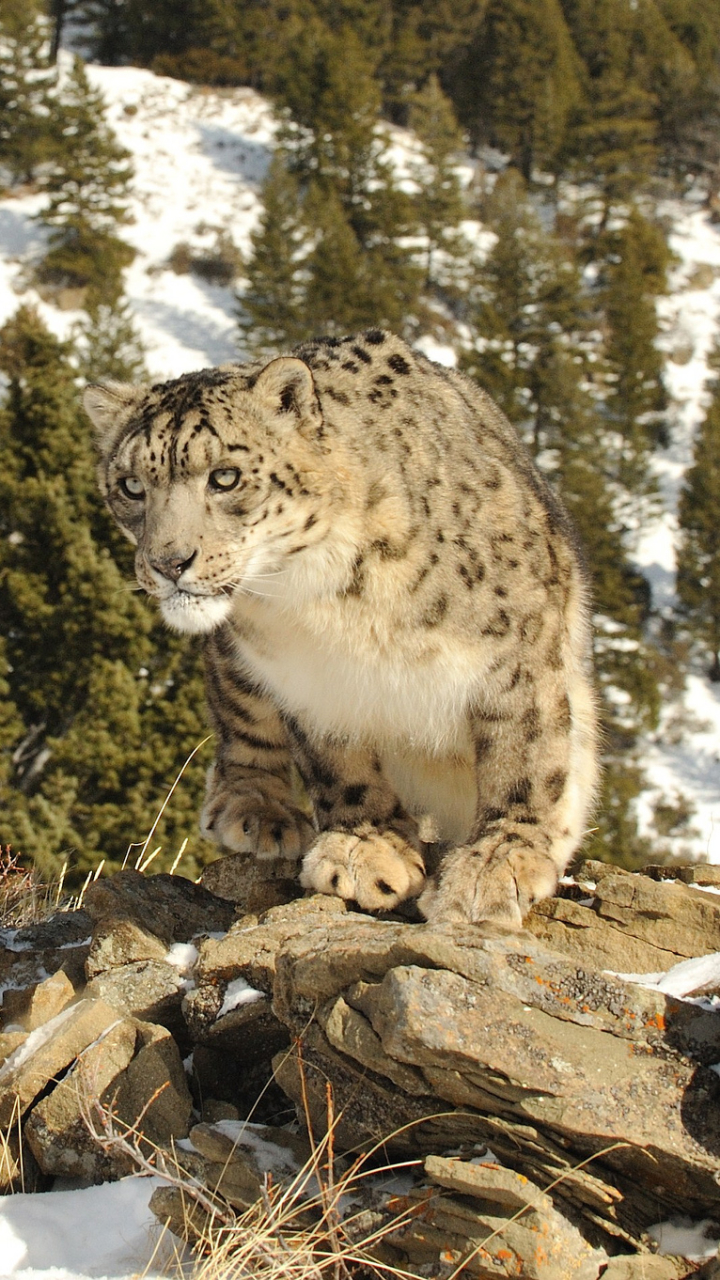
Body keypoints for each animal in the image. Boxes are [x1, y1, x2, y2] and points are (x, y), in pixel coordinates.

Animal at [87, 330, 597, 926]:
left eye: (225, 477)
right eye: (130, 486)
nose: (168, 563)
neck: (333, 601)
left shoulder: (518, 651)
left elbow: (525, 756)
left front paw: (496, 865)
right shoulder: (317, 681)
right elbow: (338, 764)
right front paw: (365, 846)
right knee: (240, 718)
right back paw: (255, 806)